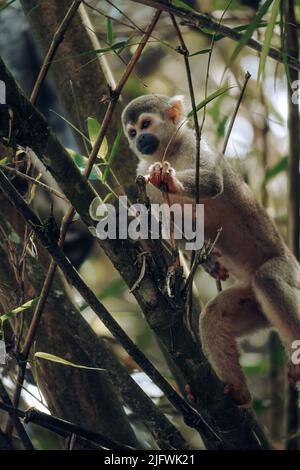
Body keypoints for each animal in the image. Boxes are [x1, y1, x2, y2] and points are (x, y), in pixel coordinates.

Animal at [122, 93, 300, 406]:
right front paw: (205, 261)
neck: (168, 152)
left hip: (291, 272)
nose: (140, 140)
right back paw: (238, 393)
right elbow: (169, 224)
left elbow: (213, 182)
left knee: (268, 278)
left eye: (145, 124)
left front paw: (172, 181)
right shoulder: (141, 174)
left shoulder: (194, 144)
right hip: (256, 306)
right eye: (131, 132)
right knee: (214, 316)